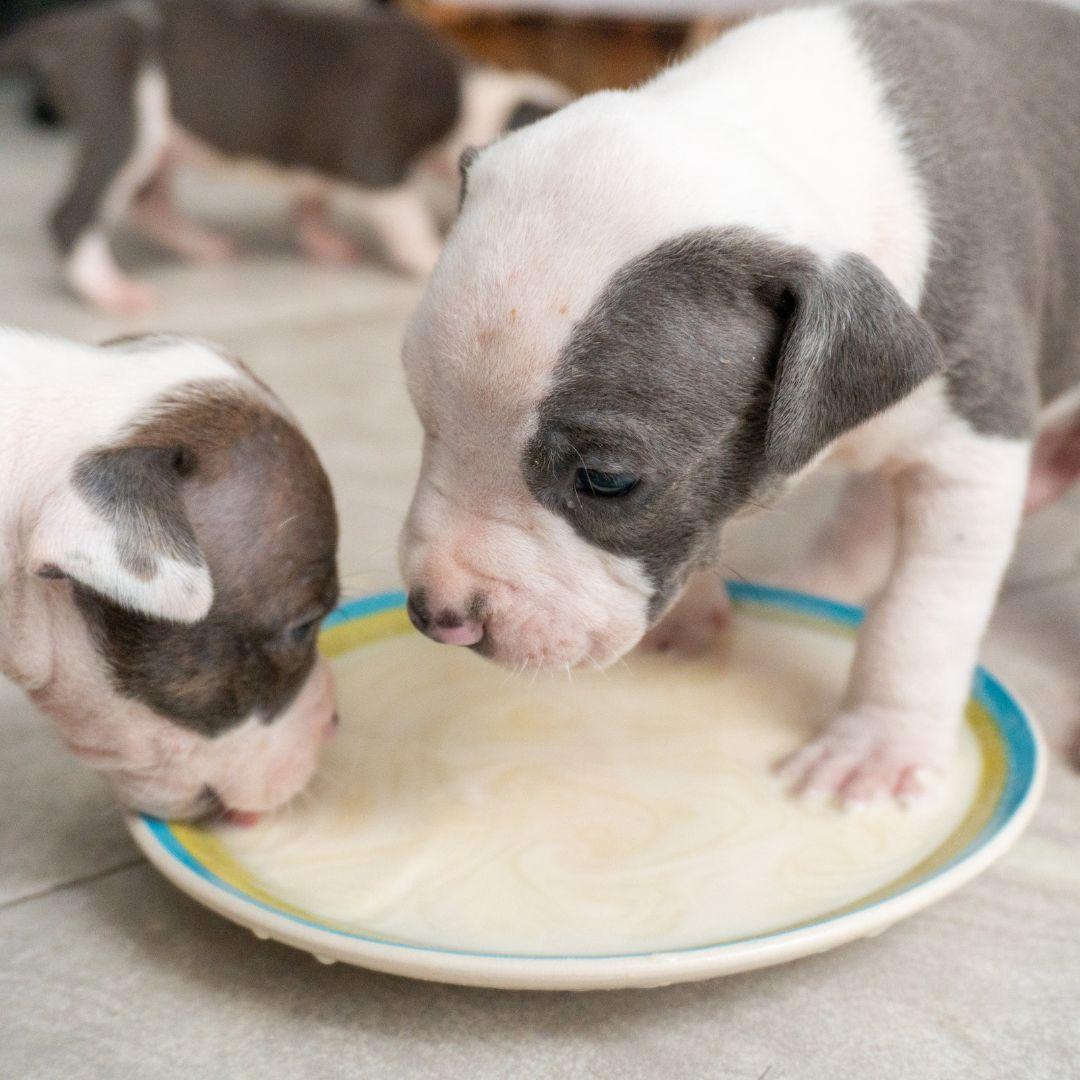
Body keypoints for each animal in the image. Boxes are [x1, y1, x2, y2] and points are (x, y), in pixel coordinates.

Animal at [0, 0, 570, 313]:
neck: (477, 95)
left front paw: (322, 240)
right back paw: (109, 290)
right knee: (74, 215)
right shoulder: (375, 163)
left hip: (161, 141)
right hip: (123, 119)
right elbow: (404, 218)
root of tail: (70, 30)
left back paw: (200, 245)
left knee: (149, 204)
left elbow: (311, 198)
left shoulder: (317, 162)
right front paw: (428, 255)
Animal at [401, 4, 1080, 807]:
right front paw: (695, 613)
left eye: (607, 481)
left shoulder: (972, 441)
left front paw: (877, 746)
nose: (437, 619)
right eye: (425, 419)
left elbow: (921, 613)